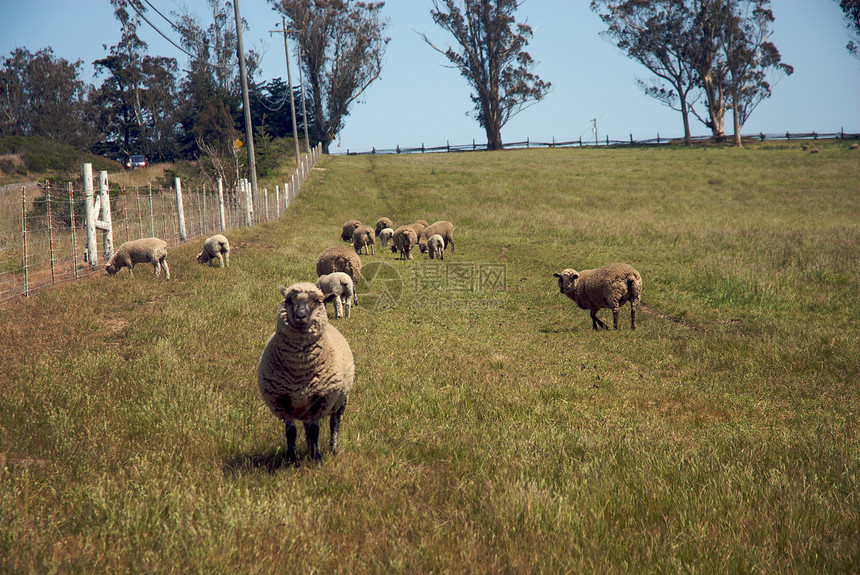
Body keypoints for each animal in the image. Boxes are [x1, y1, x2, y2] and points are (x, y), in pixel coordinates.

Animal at [256, 282, 354, 464]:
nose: (300, 316)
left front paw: (318, 460)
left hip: (340, 400)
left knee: (334, 423)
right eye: (289, 299)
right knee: (307, 427)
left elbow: (316, 430)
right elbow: (291, 432)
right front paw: (292, 461)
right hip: (303, 406)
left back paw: (332, 449)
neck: (299, 369)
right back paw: (309, 451)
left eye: (316, 300)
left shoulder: (320, 398)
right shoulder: (283, 400)